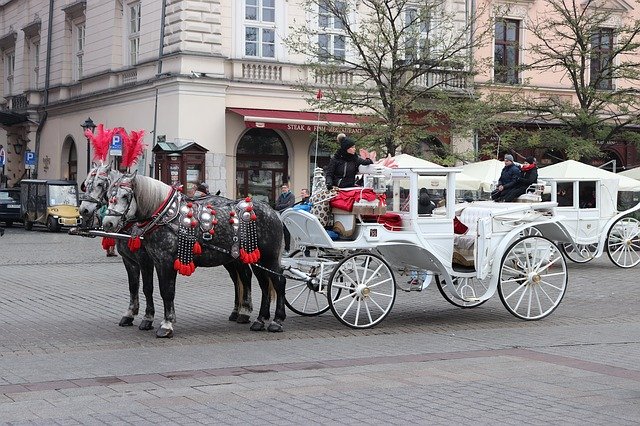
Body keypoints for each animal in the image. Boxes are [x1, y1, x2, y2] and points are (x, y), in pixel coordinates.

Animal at [101, 171, 286, 336]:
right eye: (108, 195)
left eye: (125, 196)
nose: (108, 223)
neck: (166, 217)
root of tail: (273, 212)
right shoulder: (149, 261)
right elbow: (143, 287)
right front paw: (144, 318)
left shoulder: (161, 261)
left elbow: (165, 290)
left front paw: (165, 324)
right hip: (256, 259)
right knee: (263, 285)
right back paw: (259, 320)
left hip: (268, 258)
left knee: (278, 282)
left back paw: (275, 321)